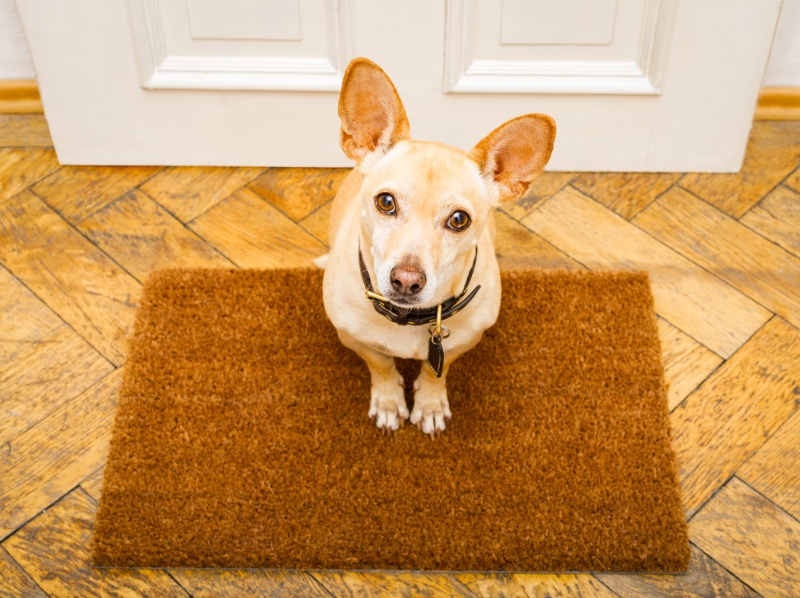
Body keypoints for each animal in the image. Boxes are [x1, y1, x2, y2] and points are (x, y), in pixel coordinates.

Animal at [318, 58, 556, 438]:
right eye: (385, 202)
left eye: (459, 219)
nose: (406, 280)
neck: (409, 320)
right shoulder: (353, 338)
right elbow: (381, 364)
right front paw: (388, 400)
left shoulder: (461, 343)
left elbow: (435, 371)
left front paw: (429, 404)